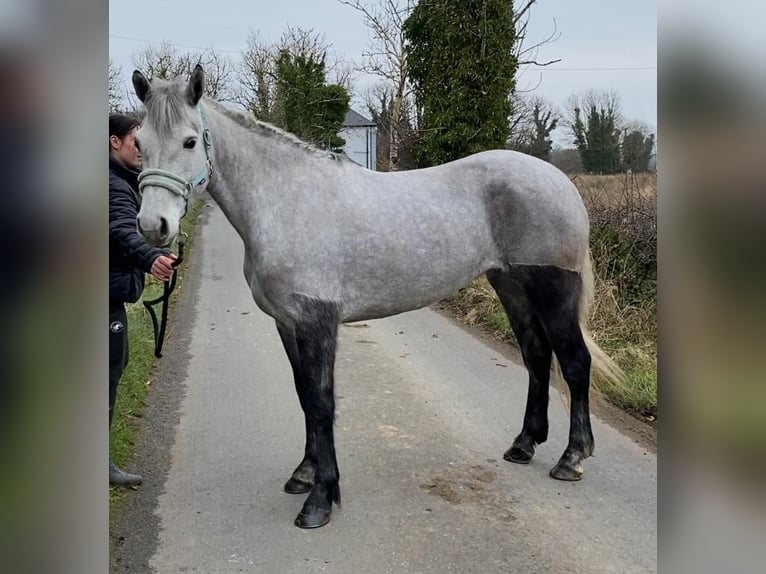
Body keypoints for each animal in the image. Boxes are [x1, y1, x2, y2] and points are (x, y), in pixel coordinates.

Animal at [132, 64, 624, 532]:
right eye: (139, 143)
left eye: (190, 141)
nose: (154, 226)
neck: (286, 202)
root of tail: (559, 180)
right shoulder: (287, 323)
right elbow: (304, 396)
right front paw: (305, 474)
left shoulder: (317, 321)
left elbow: (322, 403)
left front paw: (320, 500)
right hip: (509, 285)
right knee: (537, 355)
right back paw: (524, 444)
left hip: (551, 289)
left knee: (575, 362)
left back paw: (572, 458)